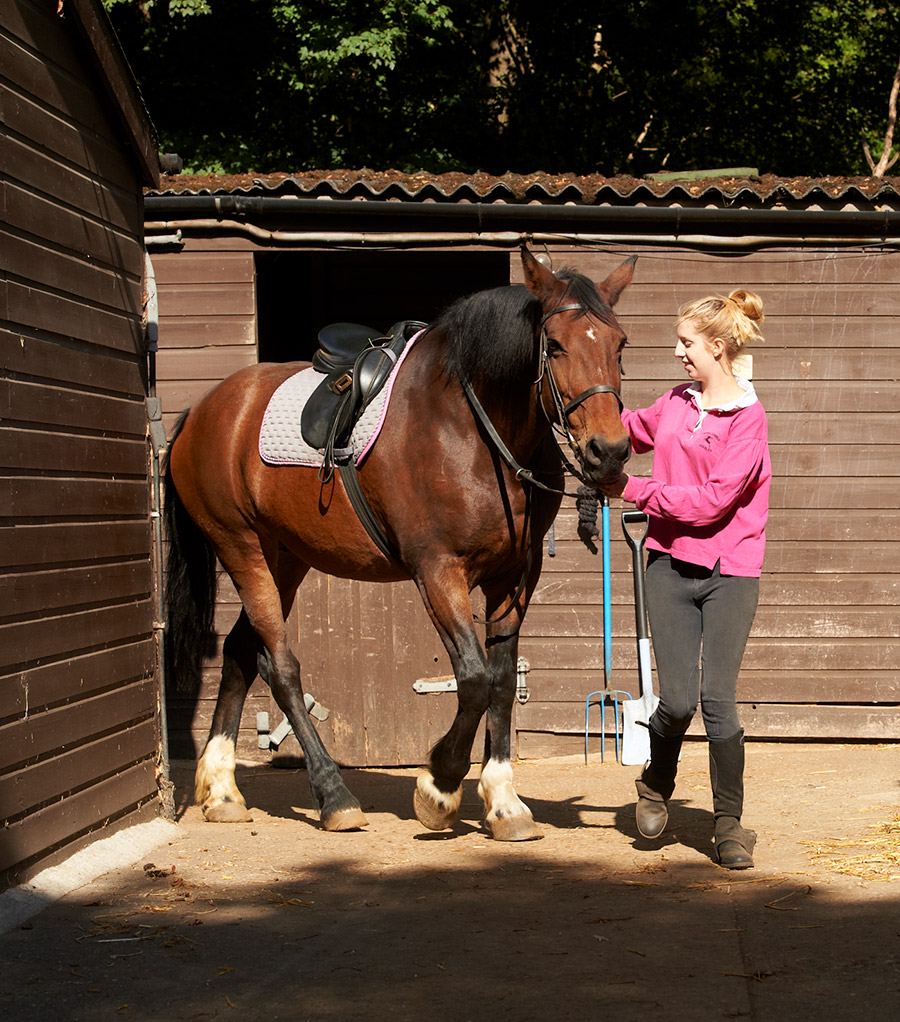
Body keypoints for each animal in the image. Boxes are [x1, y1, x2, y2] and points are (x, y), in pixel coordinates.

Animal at [163, 246, 634, 840]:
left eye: (620, 344)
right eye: (554, 345)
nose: (609, 453)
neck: (470, 430)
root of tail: (202, 412)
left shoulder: (516, 577)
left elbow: (503, 681)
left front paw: (504, 802)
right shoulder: (437, 571)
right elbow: (474, 679)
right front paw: (440, 785)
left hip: (283, 559)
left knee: (241, 654)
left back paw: (223, 790)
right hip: (242, 549)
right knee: (282, 668)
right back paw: (334, 796)